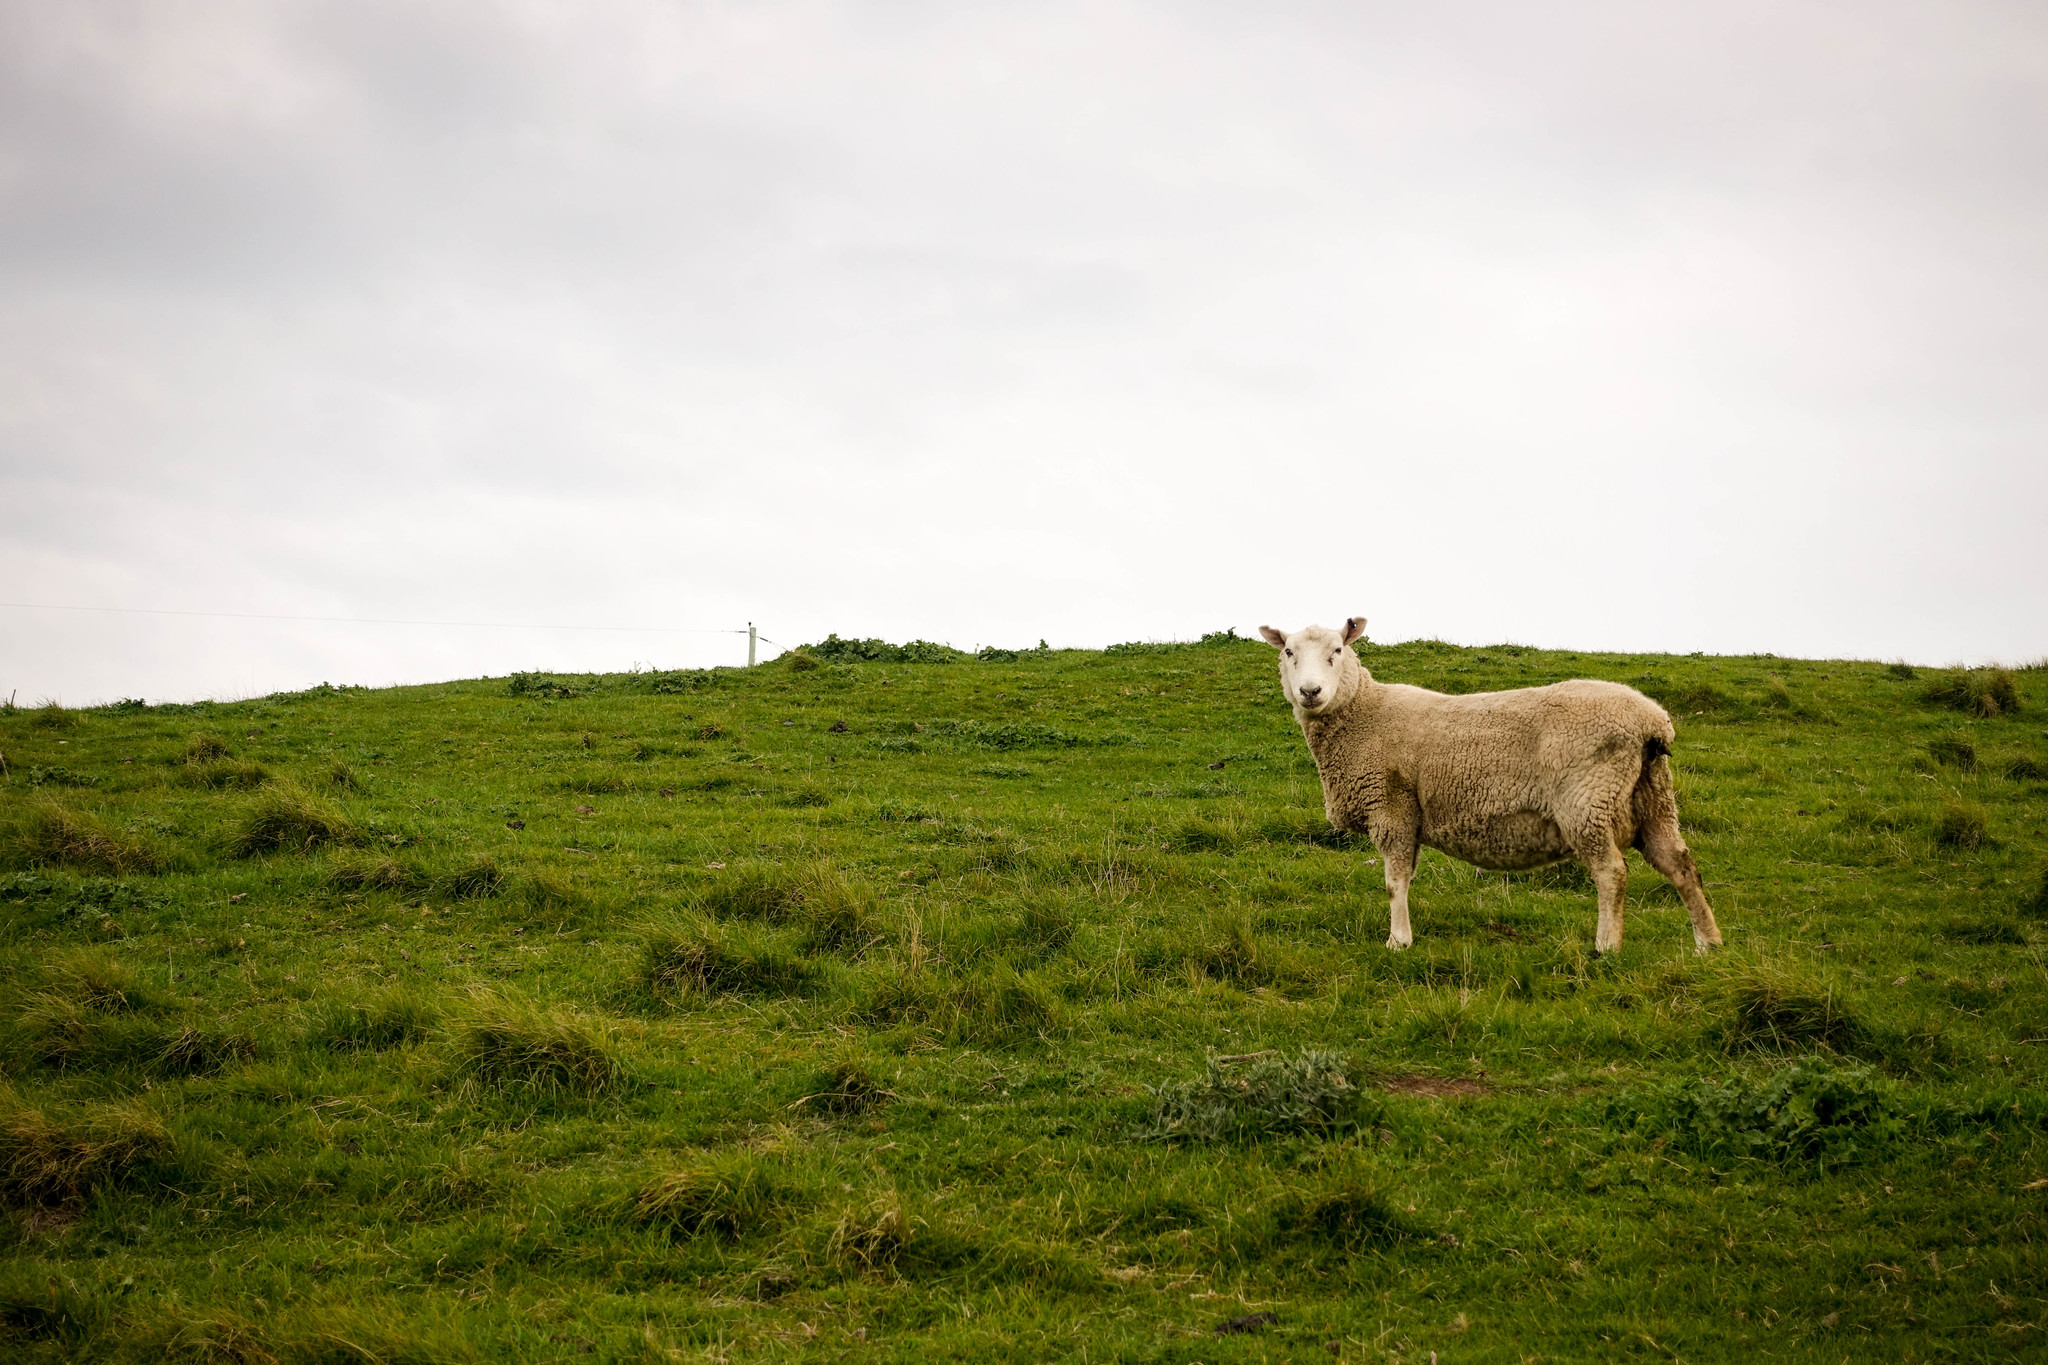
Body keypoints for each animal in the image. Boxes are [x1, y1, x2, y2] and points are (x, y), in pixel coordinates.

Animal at [1253, 613, 1720, 957]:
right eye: (1289, 652)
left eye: (1337, 650)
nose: (1310, 691)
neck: (1364, 713)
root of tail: (1652, 722)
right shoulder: (1407, 814)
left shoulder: (1392, 808)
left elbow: (1394, 882)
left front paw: (1398, 941)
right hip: (1653, 798)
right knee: (1680, 864)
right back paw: (1707, 943)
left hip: (1587, 799)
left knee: (1612, 872)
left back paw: (1607, 947)